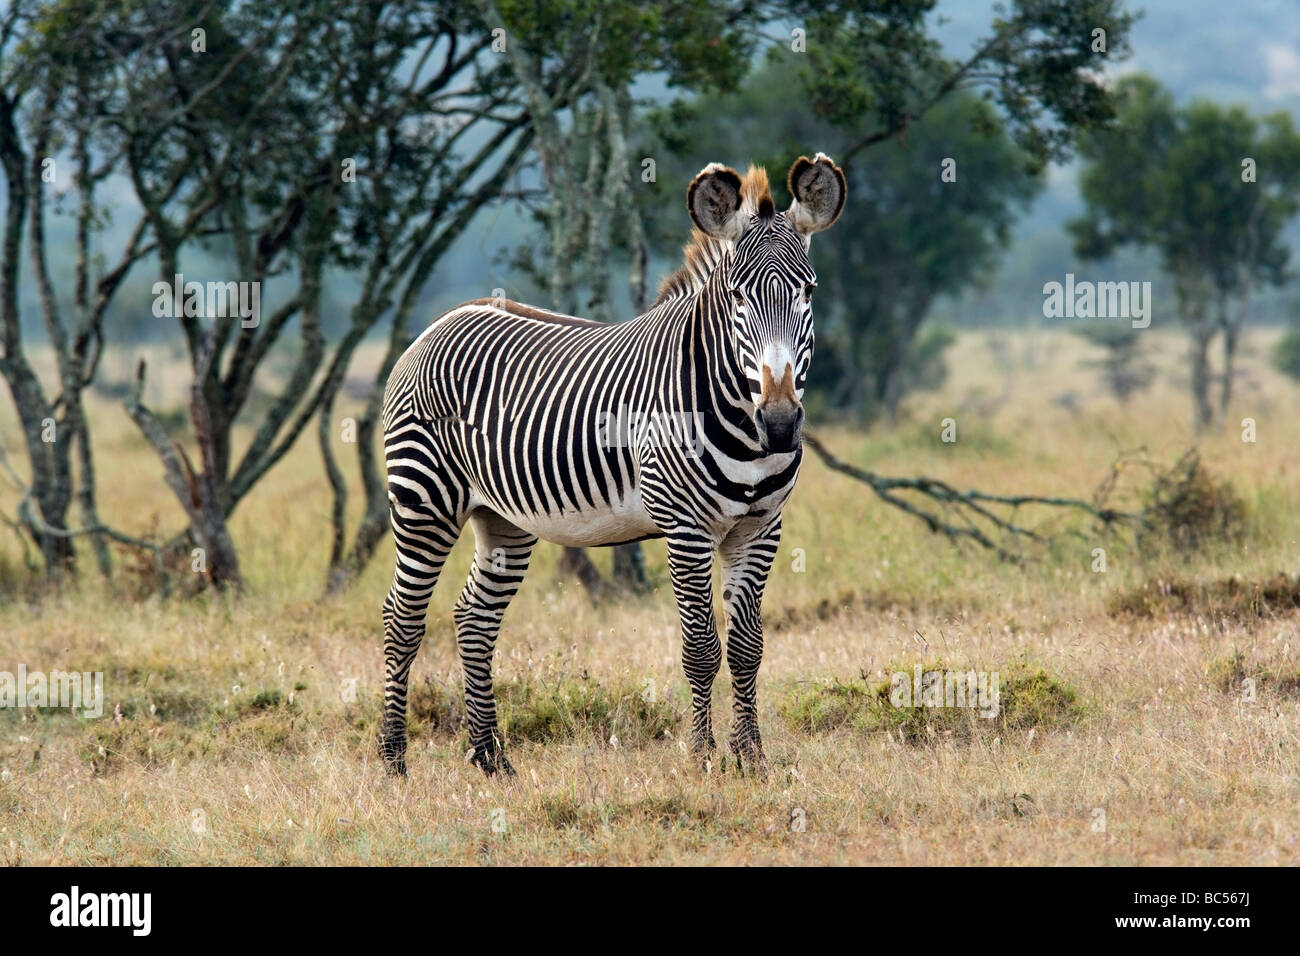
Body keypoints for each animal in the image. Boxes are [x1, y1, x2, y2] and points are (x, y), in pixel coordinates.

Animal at [379, 151, 842, 780]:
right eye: (736, 298)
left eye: (808, 293)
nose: (778, 421)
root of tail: (441, 321)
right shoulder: (686, 528)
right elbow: (702, 648)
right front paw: (703, 759)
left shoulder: (760, 528)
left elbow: (748, 648)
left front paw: (752, 759)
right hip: (424, 501)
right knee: (401, 620)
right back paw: (393, 762)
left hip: (502, 517)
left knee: (474, 618)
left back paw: (492, 760)